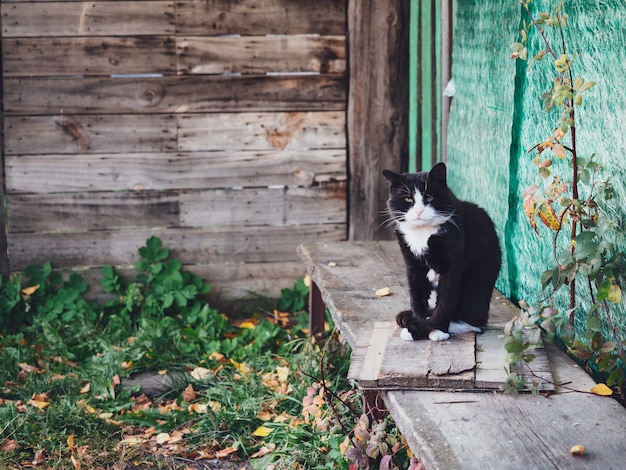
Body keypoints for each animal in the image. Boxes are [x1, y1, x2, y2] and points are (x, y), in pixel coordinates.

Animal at [378, 163, 500, 340]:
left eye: (429, 197)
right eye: (408, 199)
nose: (419, 211)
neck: (422, 233)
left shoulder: (452, 265)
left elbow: (446, 301)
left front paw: (436, 330)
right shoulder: (413, 266)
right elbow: (417, 296)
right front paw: (417, 324)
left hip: (475, 289)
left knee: (473, 322)